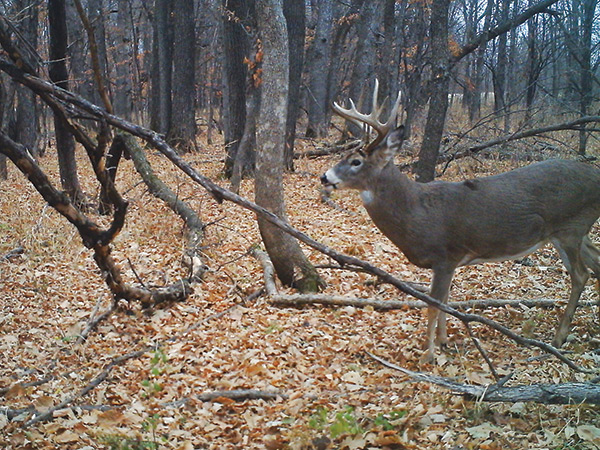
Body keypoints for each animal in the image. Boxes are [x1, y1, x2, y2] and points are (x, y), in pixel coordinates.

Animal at [322, 80, 600, 362]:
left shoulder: (445, 255)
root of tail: (596, 176)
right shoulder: (451, 262)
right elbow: (447, 301)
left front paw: (428, 355)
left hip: (570, 228)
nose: (325, 177)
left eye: (356, 161)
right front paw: (443, 341)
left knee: (581, 274)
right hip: (575, 231)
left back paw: (559, 337)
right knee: (595, 263)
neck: (416, 212)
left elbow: (434, 306)